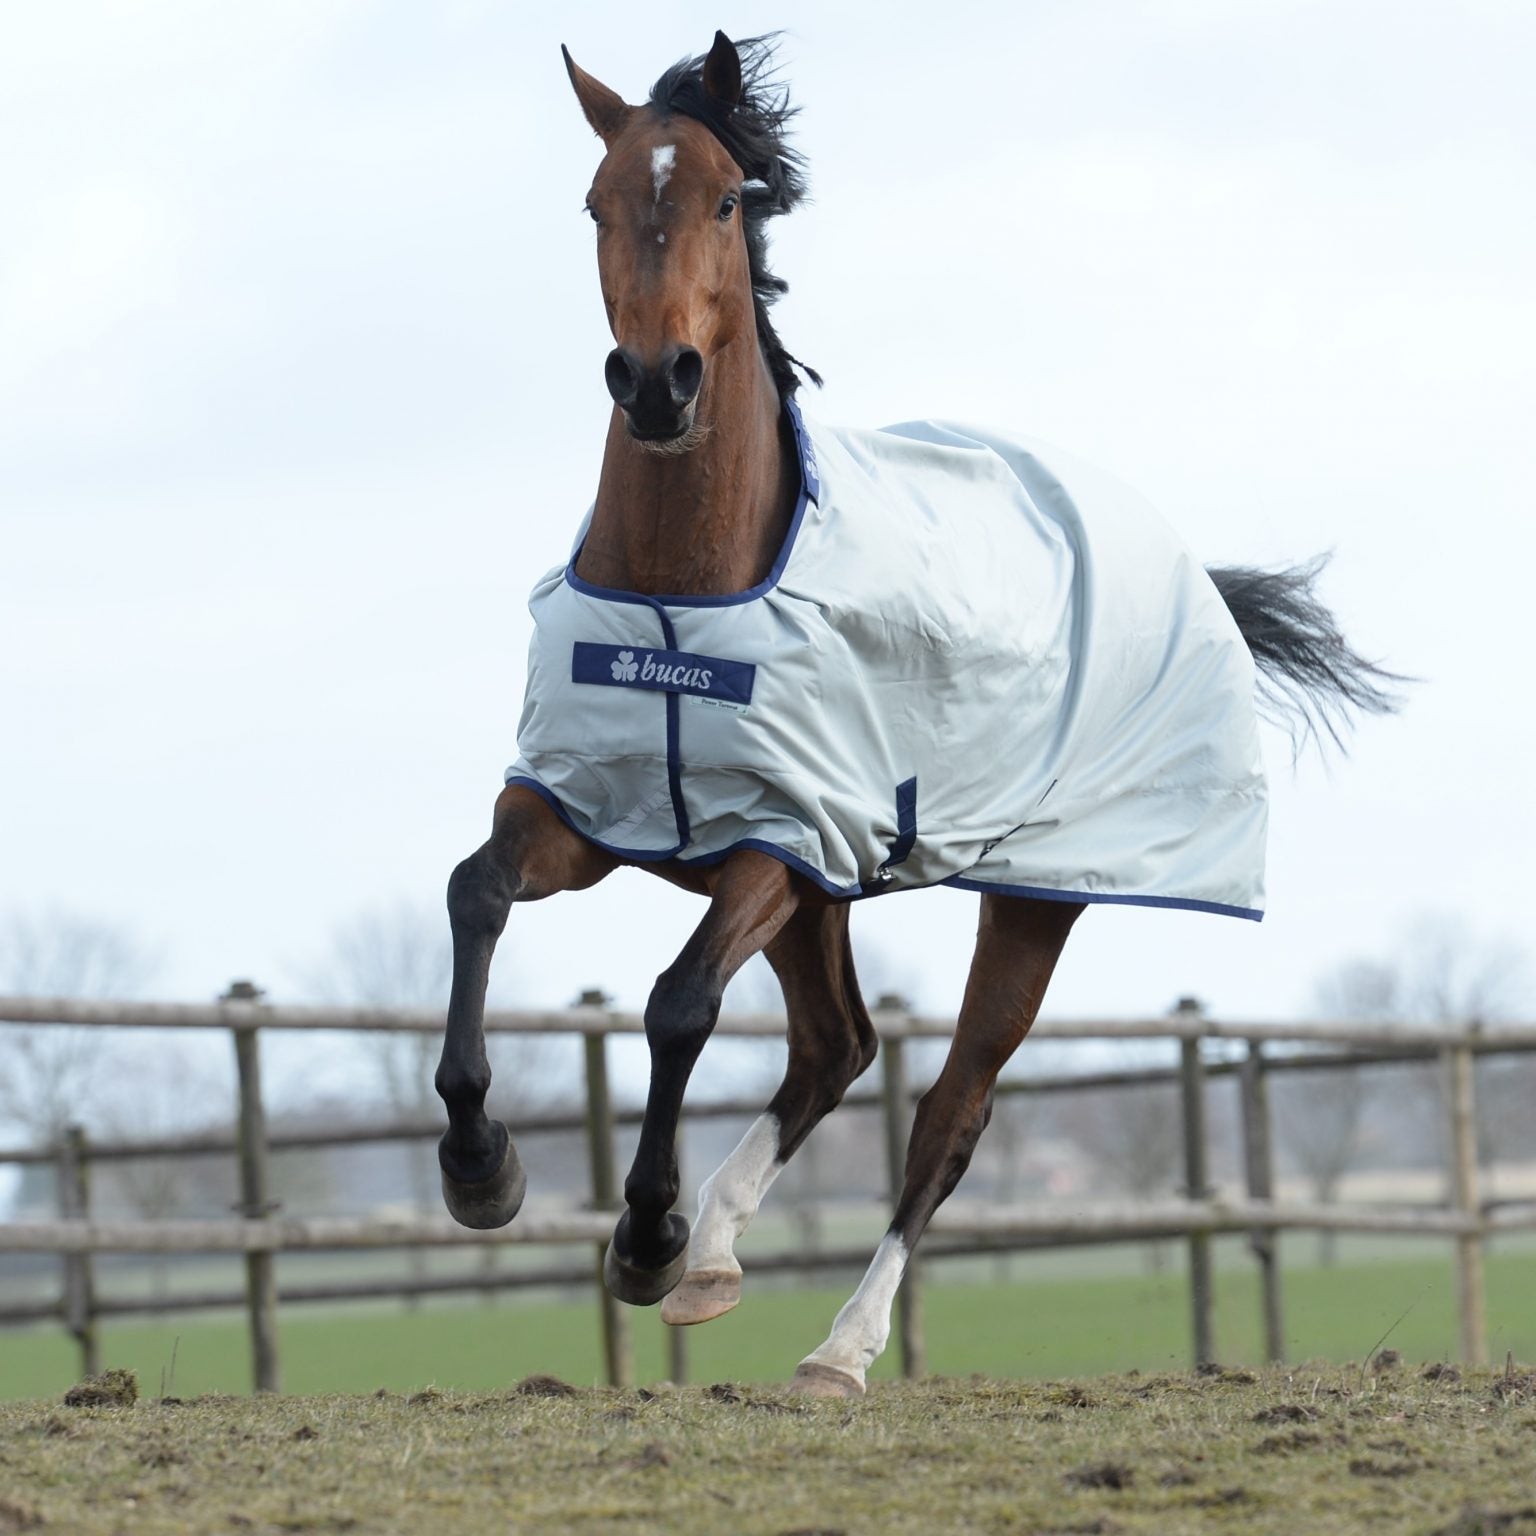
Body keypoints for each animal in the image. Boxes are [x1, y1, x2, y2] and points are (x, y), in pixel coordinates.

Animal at [434, 31, 1397, 1397]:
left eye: (725, 199)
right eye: (596, 203)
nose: (659, 385)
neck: (688, 592)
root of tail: (1189, 570)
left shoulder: (781, 845)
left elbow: (678, 1003)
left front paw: (648, 1235)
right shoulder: (591, 807)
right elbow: (476, 893)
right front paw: (484, 1168)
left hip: (1031, 900)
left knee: (947, 1110)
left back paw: (836, 1345)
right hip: (833, 896)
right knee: (836, 1046)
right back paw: (721, 1255)